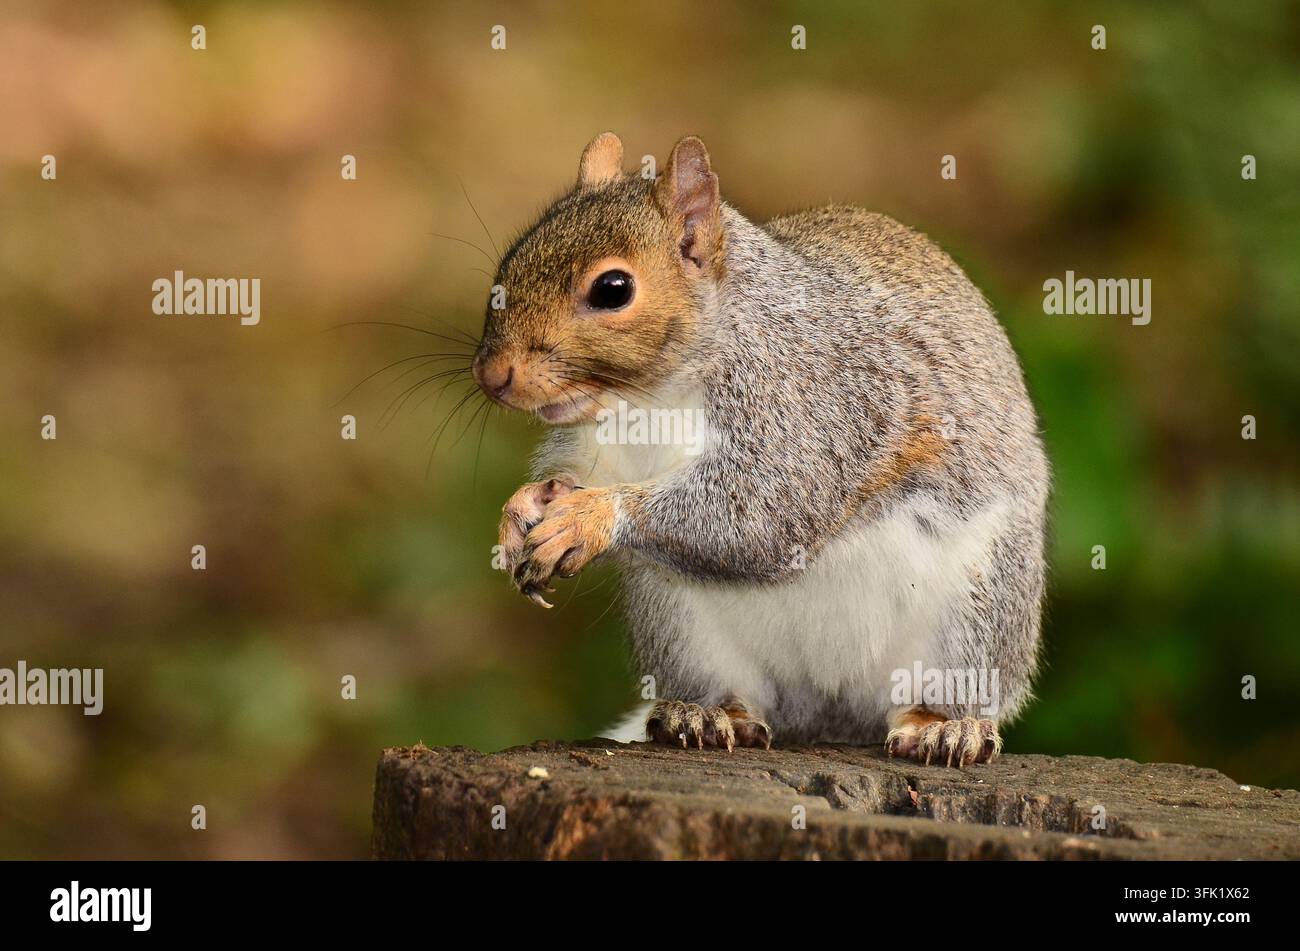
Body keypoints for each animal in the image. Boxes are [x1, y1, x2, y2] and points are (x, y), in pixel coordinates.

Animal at [472, 132, 1048, 767]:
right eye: (511, 260)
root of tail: (830, 713)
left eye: (612, 289)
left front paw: (590, 518)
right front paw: (523, 508)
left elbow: (762, 511)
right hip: (680, 624)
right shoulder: (594, 445)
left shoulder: (811, 409)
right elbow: (569, 476)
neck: (647, 399)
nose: (492, 375)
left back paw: (947, 727)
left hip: (978, 612)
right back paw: (708, 716)